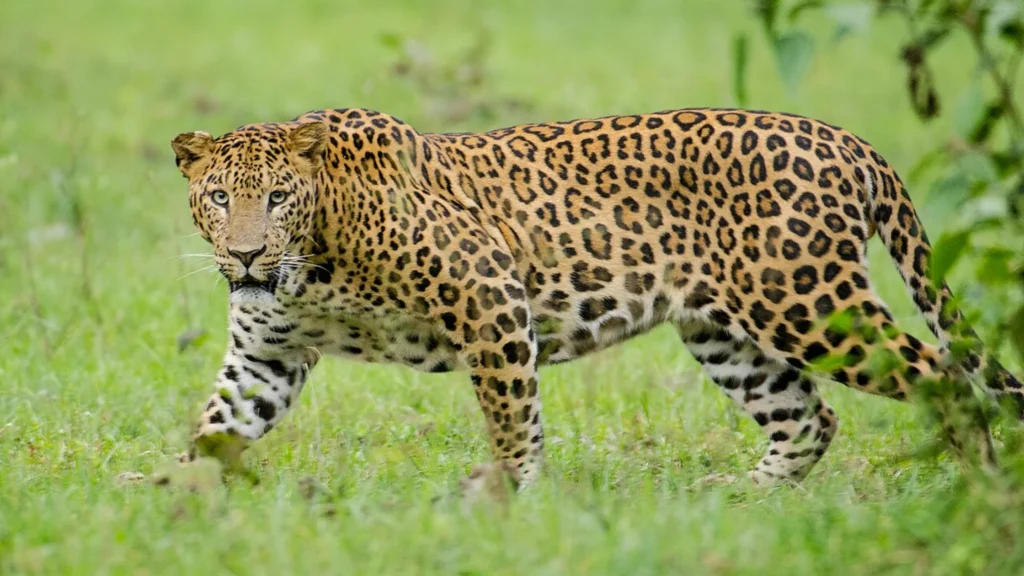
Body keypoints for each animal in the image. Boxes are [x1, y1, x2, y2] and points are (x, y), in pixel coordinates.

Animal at [170, 107, 1023, 489]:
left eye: (278, 197)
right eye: (218, 198)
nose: (245, 253)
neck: (311, 262)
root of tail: (848, 140)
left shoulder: (489, 293)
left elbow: (511, 415)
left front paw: (506, 497)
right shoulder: (266, 354)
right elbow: (217, 425)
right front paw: (167, 500)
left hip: (807, 302)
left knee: (946, 379)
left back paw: (982, 489)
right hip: (725, 332)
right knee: (809, 417)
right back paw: (743, 500)